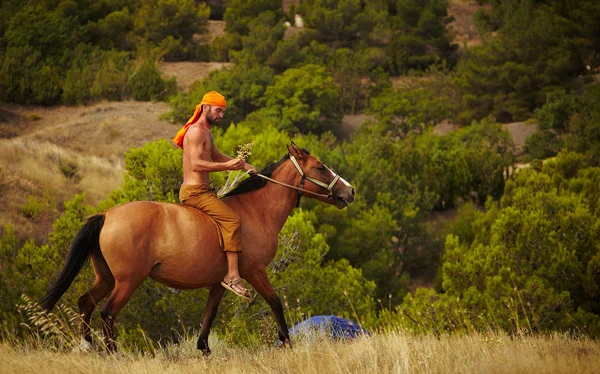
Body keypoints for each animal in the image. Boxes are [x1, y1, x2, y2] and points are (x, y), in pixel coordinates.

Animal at [41, 143, 352, 354]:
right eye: (321, 167)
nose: (350, 191)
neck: (257, 210)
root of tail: (106, 215)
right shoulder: (255, 271)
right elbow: (275, 302)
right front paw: (286, 342)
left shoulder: (219, 281)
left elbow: (209, 313)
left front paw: (204, 348)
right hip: (128, 281)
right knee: (107, 312)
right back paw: (112, 352)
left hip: (106, 277)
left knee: (86, 302)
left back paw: (87, 345)